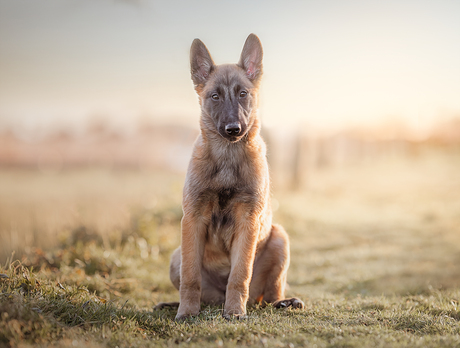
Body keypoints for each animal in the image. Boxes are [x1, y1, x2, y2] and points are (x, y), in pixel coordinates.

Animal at [156, 34, 304, 320]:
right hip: (177, 255)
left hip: (280, 239)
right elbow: (191, 277)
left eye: (243, 94)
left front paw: (235, 312)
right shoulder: (193, 218)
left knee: (268, 295)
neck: (227, 156)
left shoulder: (248, 220)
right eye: (215, 96)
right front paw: (186, 312)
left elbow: (240, 274)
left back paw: (284, 302)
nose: (233, 129)